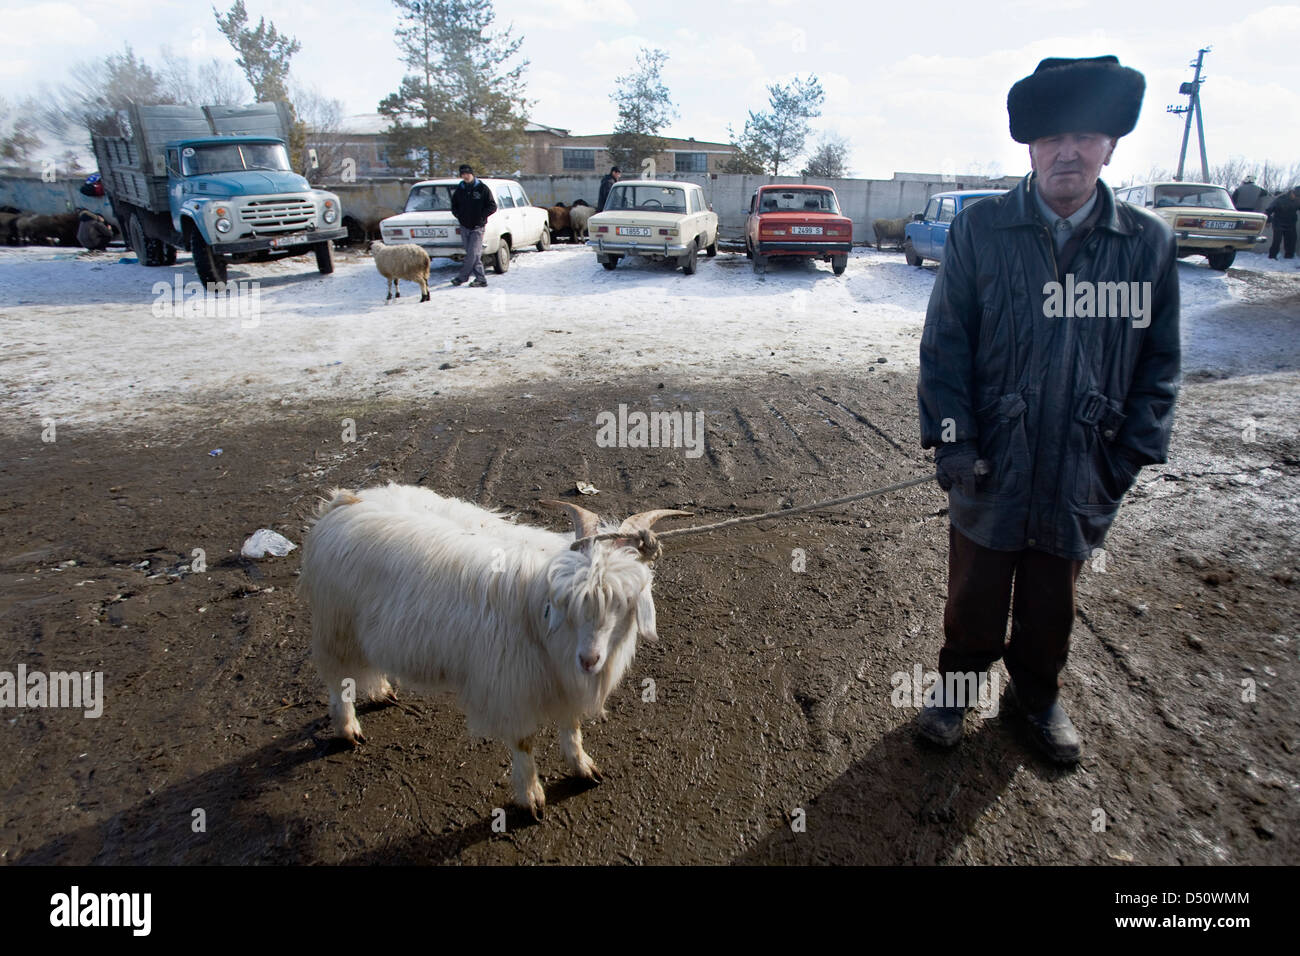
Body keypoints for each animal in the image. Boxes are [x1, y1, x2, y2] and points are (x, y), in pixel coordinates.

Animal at [296, 486, 691, 822]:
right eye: (568, 601)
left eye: (624, 602)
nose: (589, 659)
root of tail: (343, 500)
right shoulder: (511, 686)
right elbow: (523, 742)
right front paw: (530, 796)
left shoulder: (562, 681)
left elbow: (572, 725)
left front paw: (582, 765)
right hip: (336, 625)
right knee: (338, 680)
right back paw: (347, 727)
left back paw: (379, 690)